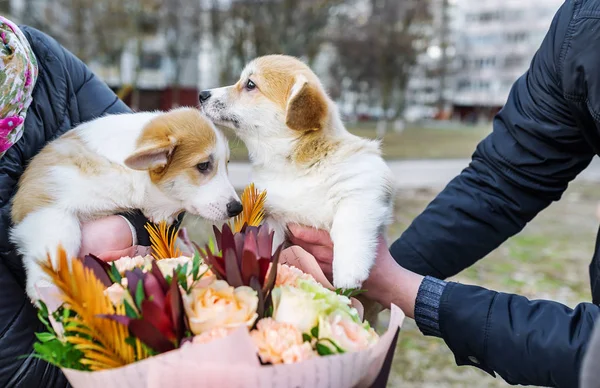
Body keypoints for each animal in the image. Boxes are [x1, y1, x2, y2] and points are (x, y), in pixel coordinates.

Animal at [10, 107, 240, 300]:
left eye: (227, 164)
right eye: (203, 165)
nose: (237, 208)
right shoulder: (44, 202)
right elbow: (59, 245)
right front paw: (48, 292)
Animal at [199, 55, 396, 292]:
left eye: (250, 84)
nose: (202, 95)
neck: (293, 166)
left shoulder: (363, 188)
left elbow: (349, 224)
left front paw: (349, 273)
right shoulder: (272, 217)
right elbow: (268, 243)